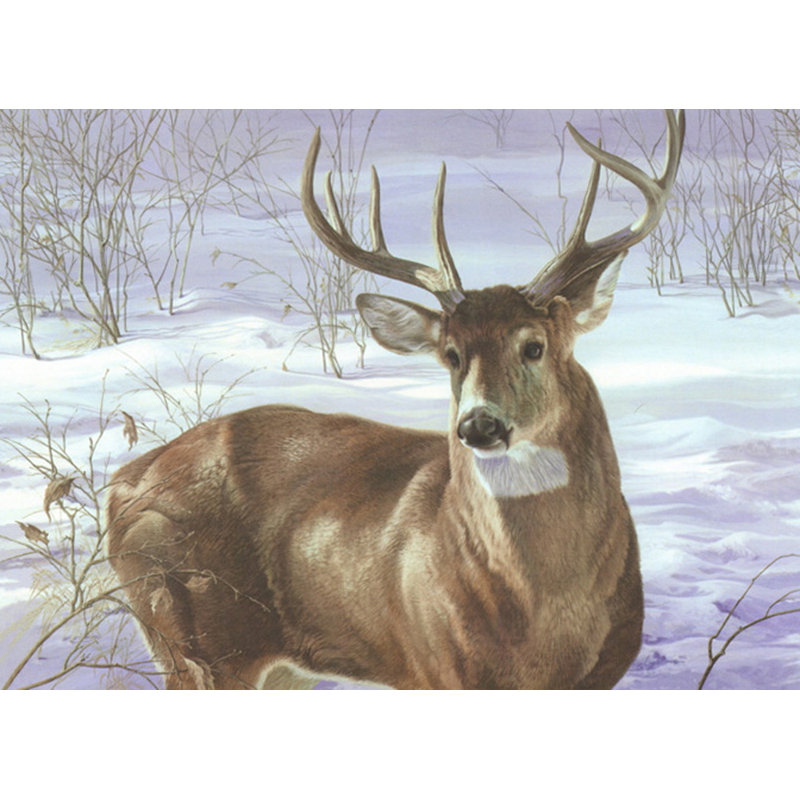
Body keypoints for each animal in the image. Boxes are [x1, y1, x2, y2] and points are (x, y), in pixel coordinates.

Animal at [107, 110, 685, 690]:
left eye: (534, 345)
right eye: (451, 355)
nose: (478, 425)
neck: (546, 617)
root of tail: (122, 481)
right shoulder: (436, 665)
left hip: (278, 664)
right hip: (193, 637)